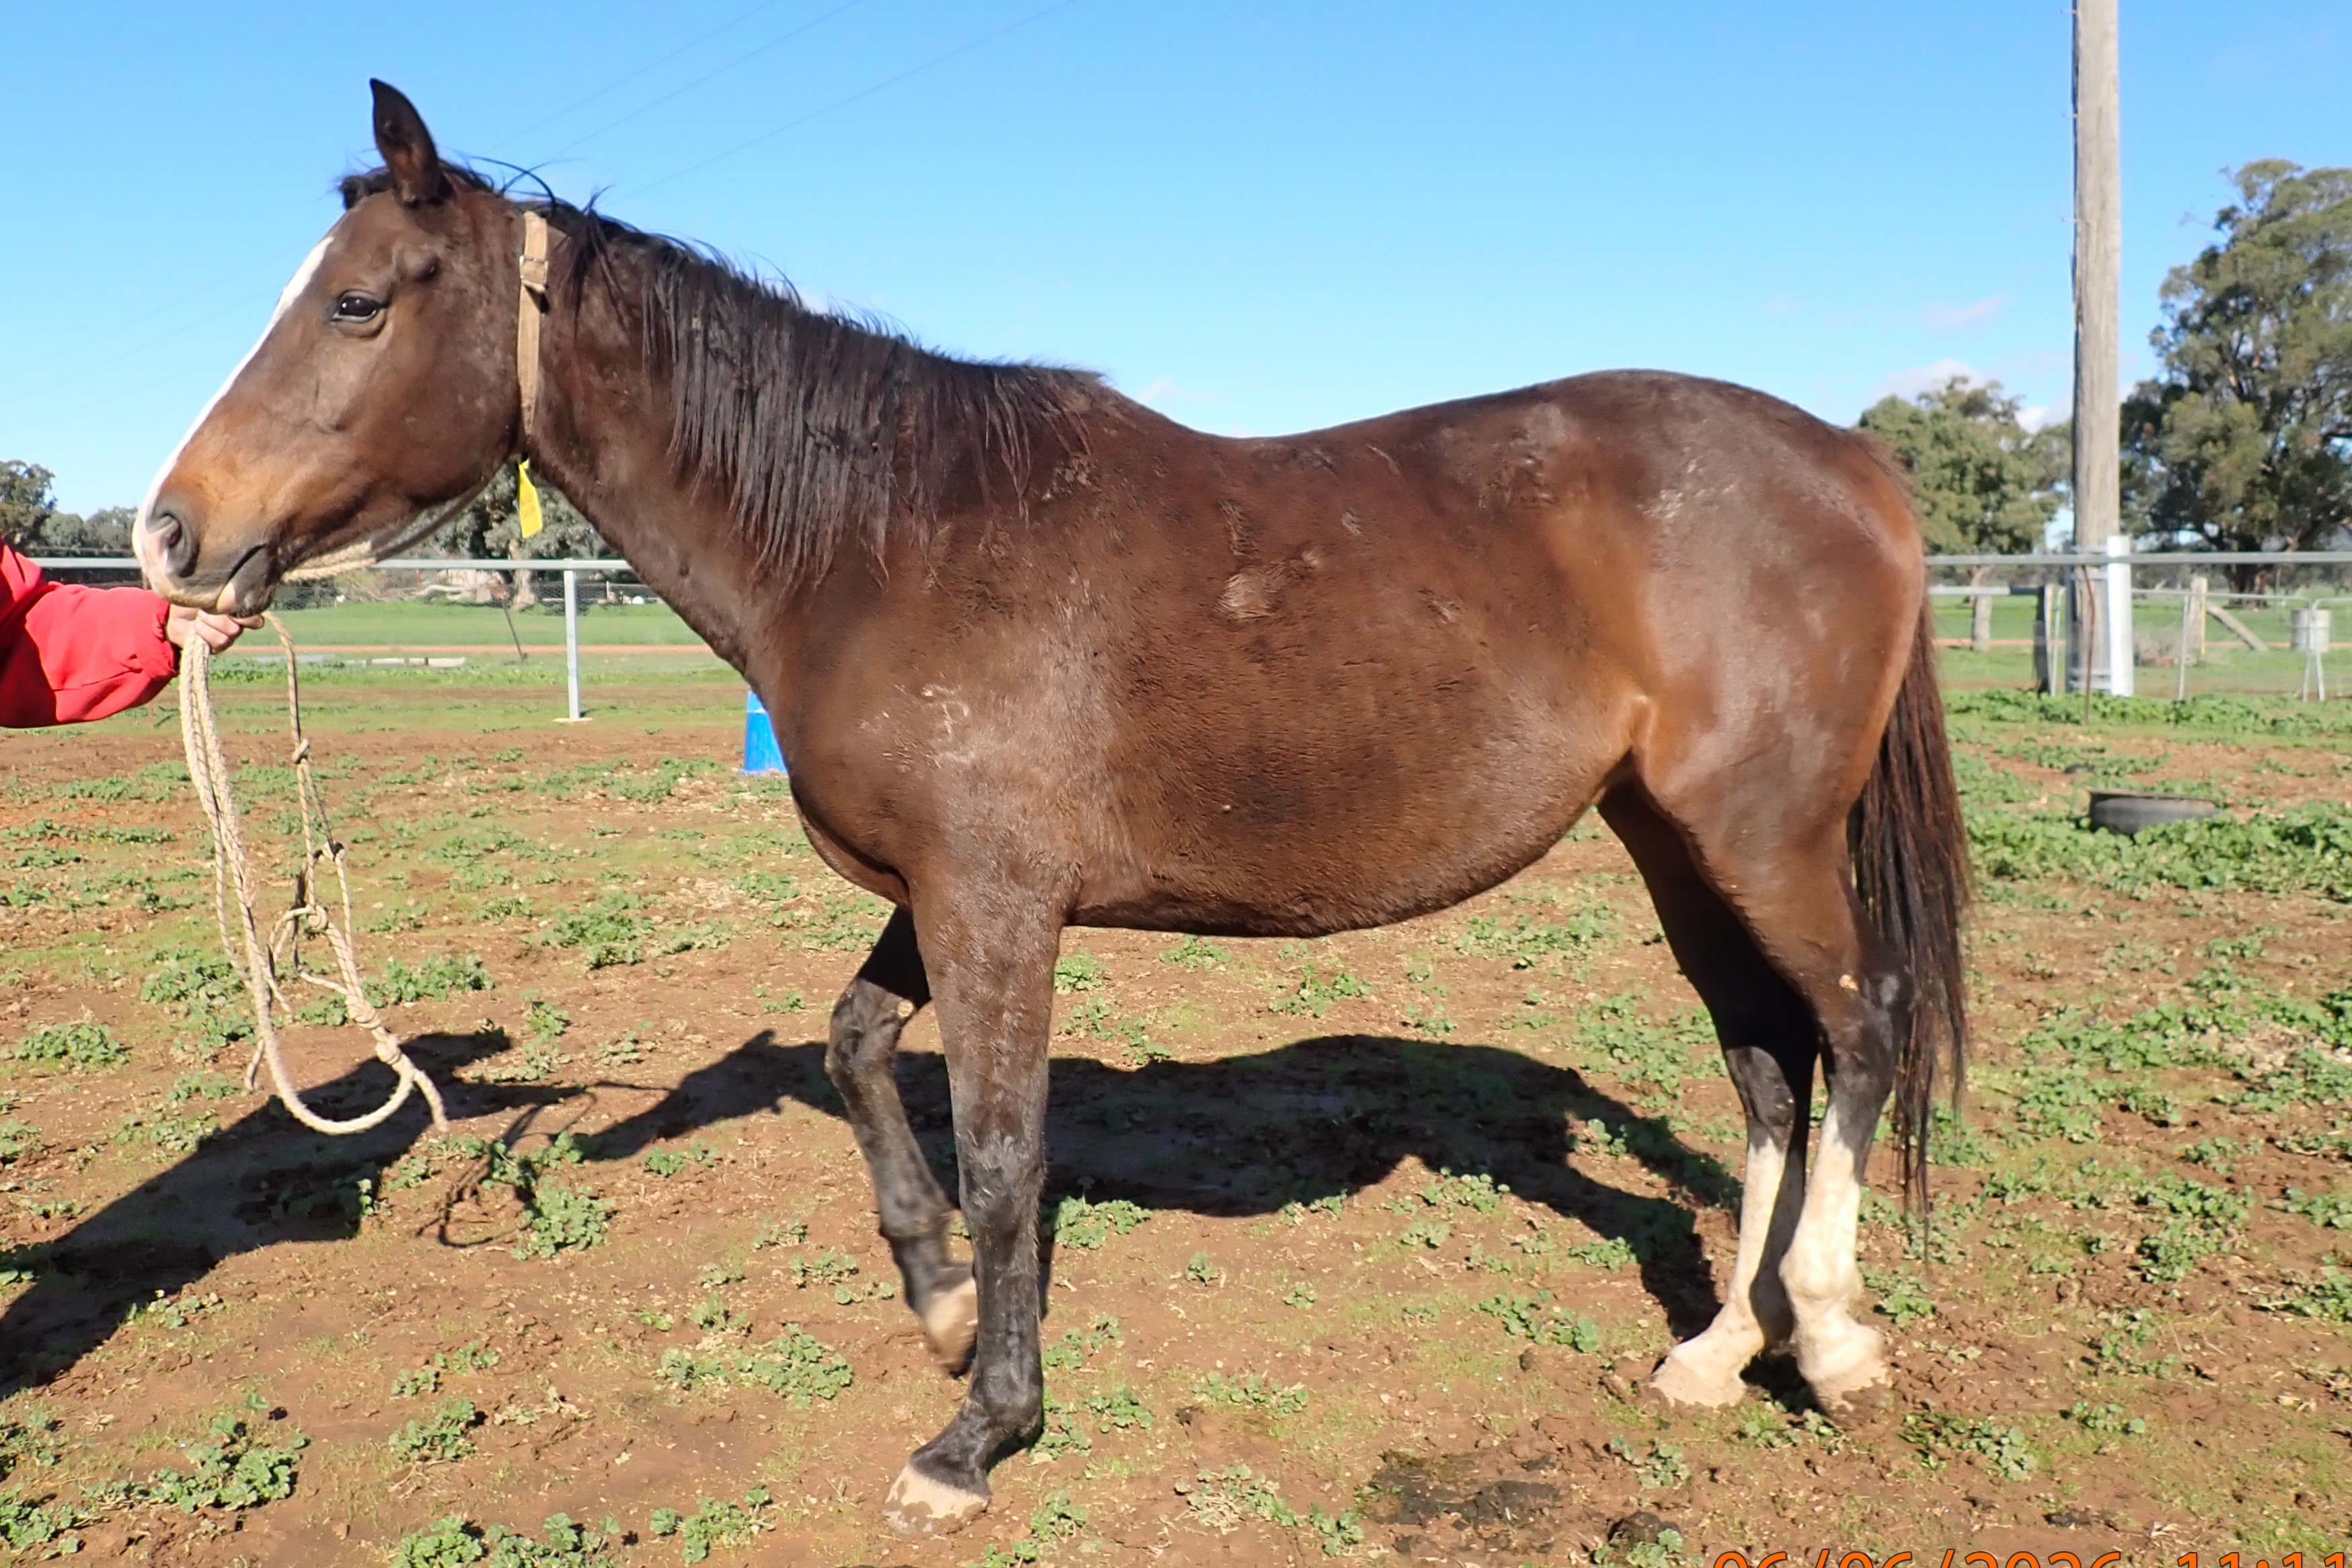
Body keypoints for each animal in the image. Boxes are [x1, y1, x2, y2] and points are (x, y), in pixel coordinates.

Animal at [133, 81, 1968, 1535]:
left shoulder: (996, 906)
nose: (168, 535)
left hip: (1759, 836)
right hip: (1670, 840)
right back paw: (1715, 1352)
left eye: (357, 303)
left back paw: (1831, 1334)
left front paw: (974, 1431)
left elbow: (1009, 1149)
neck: (876, 538)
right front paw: (943, 1302)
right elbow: (856, 1051)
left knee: (1857, 1022)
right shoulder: (940, 891)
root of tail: (1854, 465)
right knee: (1764, 1058)